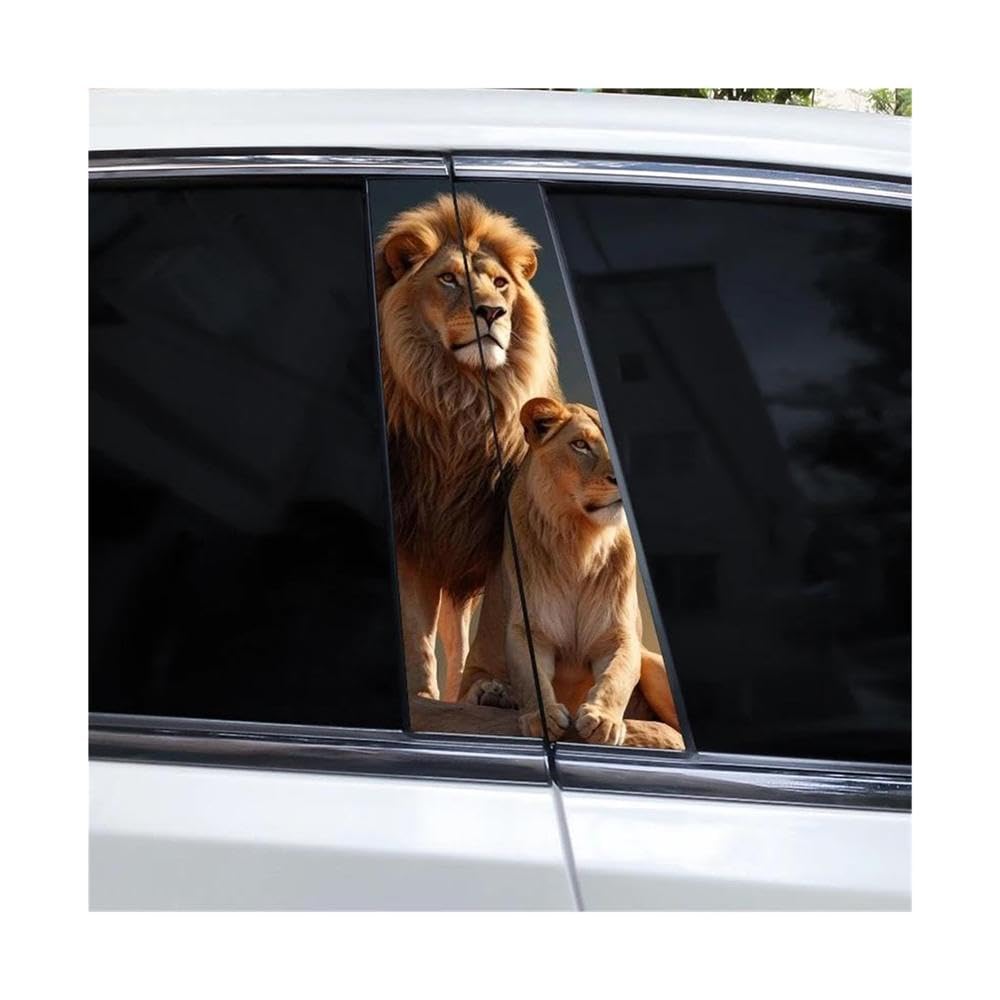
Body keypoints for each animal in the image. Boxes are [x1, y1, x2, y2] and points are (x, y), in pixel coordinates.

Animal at [375, 193, 559, 702]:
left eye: (500, 283)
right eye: (448, 279)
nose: (492, 312)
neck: (463, 402)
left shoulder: (500, 532)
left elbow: (496, 620)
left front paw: (488, 687)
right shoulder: (411, 531)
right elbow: (415, 628)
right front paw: (421, 697)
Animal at [458, 398, 684, 750]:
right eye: (580, 445)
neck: (580, 542)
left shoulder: (617, 633)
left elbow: (617, 675)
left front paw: (603, 721)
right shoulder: (530, 628)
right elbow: (530, 675)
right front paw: (541, 718)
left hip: (654, 665)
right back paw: (494, 694)